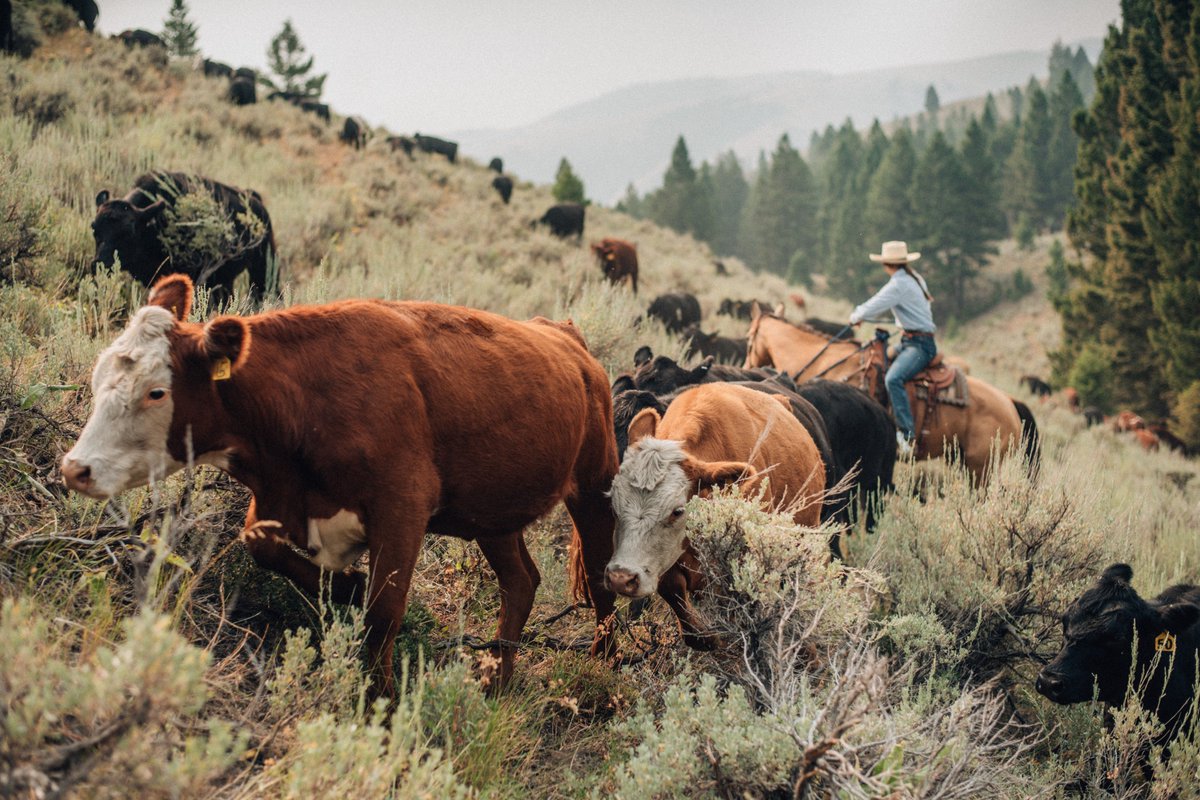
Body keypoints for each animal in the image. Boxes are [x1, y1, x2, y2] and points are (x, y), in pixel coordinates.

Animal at [58, 275, 619, 695]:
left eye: (157, 392)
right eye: (98, 376)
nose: (75, 469)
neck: (305, 399)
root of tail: (566, 335)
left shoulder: (403, 505)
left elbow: (383, 612)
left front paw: (380, 702)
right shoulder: (281, 498)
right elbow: (260, 544)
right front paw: (345, 586)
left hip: (595, 485)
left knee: (598, 571)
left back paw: (605, 662)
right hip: (492, 511)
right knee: (520, 580)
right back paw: (498, 679)